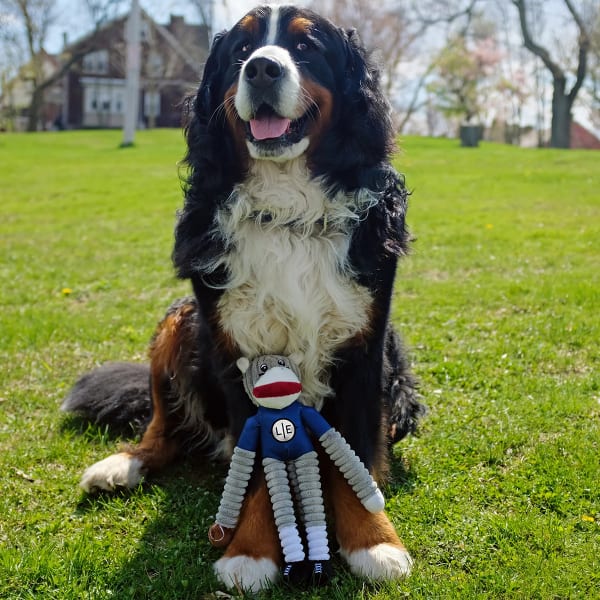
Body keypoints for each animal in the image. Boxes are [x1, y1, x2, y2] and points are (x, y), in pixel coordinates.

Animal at [62, 3, 422, 592]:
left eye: (305, 47)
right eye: (241, 51)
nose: (262, 69)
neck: (288, 211)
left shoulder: (365, 345)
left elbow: (357, 453)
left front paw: (374, 543)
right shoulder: (234, 351)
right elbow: (252, 461)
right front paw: (251, 552)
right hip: (180, 321)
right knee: (163, 428)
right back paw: (122, 465)